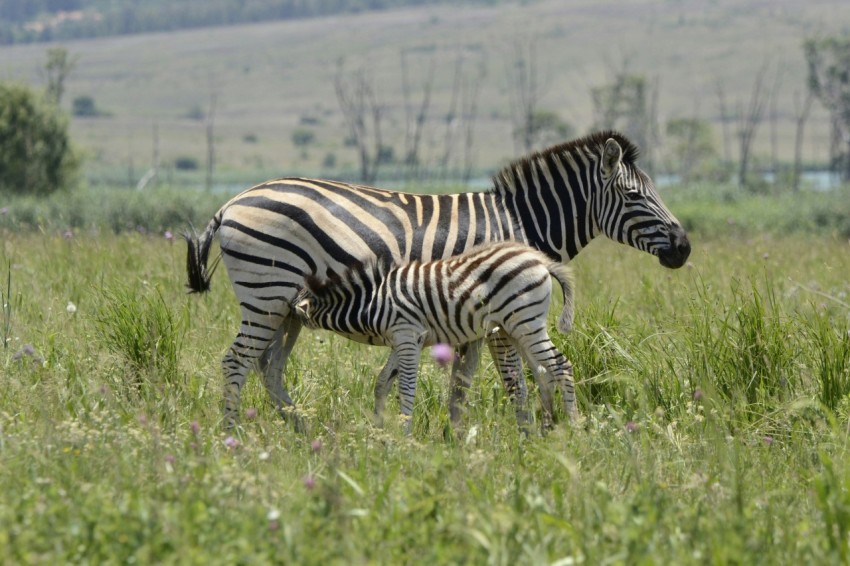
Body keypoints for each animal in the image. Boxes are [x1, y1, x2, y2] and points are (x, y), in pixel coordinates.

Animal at [293, 241, 578, 432]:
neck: (372, 302)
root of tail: (538, 259)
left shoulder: (407, 334)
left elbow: (406, 388)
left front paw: (404, 435)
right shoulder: (403, 339)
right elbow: (382, 382)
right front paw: (379, 430)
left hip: (526, 321)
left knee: (561, 366)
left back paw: (574, 428)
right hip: (516, 327)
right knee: (544, 372)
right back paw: (547, 430)